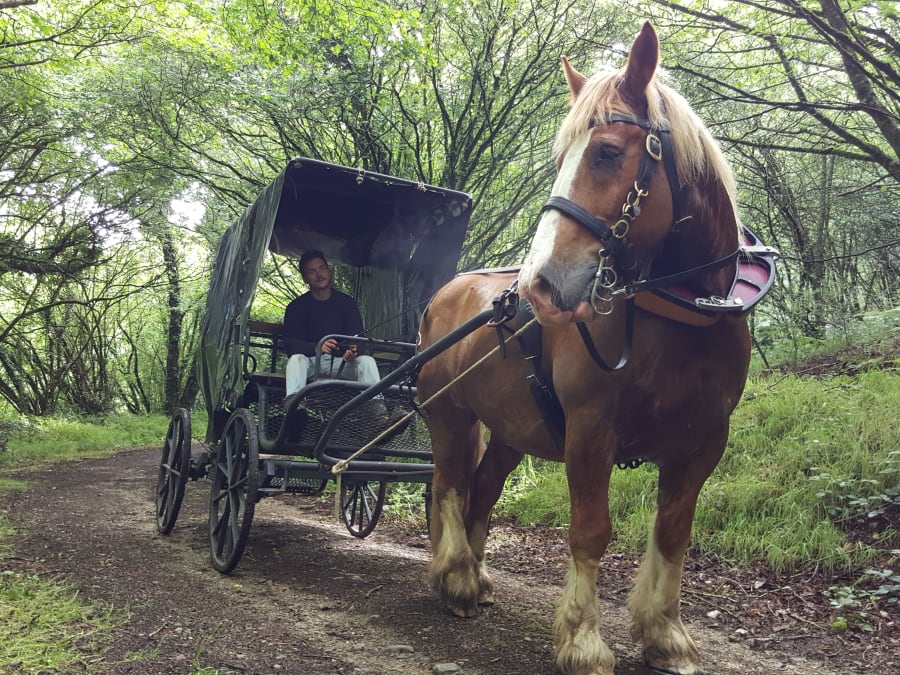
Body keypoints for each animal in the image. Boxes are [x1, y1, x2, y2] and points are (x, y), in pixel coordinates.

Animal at [416, 22, 753, 675]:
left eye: (607, 153)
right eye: (559, 160)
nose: (539, 286)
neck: (683, 316)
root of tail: (447, 292)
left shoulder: (704, 441)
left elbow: (673, 532)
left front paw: (665, 634)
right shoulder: (590, 430)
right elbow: (591, 531)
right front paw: (583, 640)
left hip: (510, 428)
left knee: (483, 487)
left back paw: (476, 575)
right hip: (448, 415)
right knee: (447, 485)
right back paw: (457, 578)